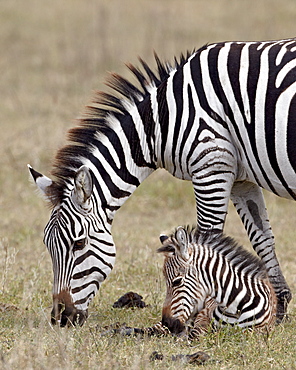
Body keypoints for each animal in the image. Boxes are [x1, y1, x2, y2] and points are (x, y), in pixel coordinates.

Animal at [28, 38, 294, 326]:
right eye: (47, 245)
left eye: (79, 243)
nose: (60, 317)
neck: (163, 120)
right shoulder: (240, 178)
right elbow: (262, 237)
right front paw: (278, 307)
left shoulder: (211, 163)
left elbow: (209, 236)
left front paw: (208, 314)